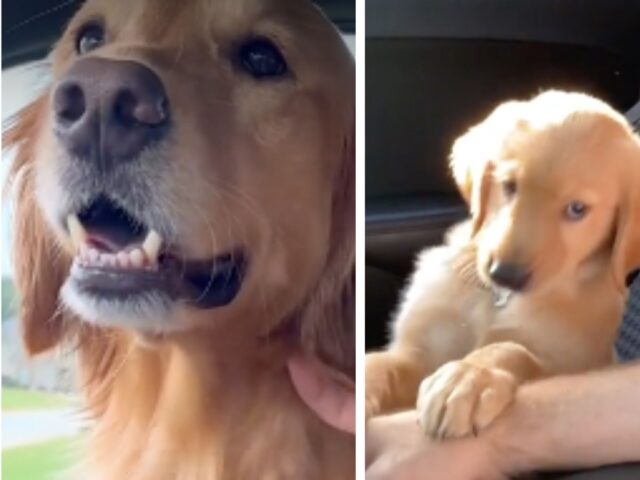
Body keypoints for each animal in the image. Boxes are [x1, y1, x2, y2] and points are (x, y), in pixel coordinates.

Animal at [364, 90, 640, 438]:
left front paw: (469, 376)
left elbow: (512, 349)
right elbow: (381, 363)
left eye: (577, 209)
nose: (506, 275)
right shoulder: (418, 353)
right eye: (509, 186)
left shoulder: (567, 363)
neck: (500, 300)